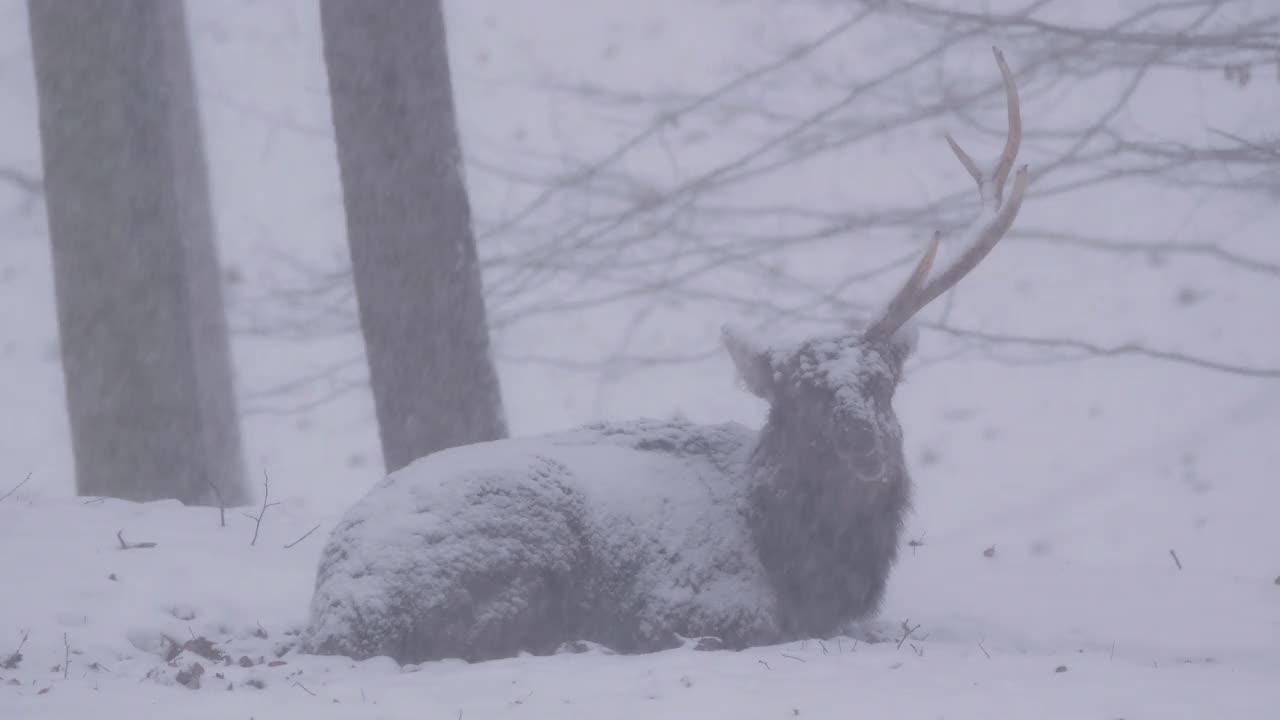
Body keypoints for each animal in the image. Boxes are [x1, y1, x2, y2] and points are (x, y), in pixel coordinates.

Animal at [299, 46, 1029, 661]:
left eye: (884, 383)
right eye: (800, 395)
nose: (866, 450)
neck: (803, 561)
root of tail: (332, 611)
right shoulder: (697, 601)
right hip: (516, 533)